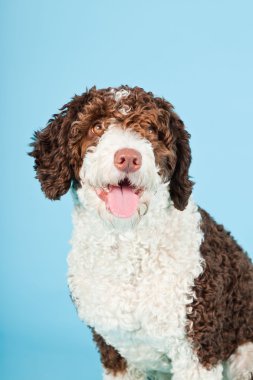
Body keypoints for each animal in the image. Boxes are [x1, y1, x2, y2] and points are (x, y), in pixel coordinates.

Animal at [30, 86, 253, 380]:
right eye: (97, 126)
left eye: (149, 129)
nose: (128, 158)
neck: (128, 246)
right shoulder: (115, 353)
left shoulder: (196, 349)